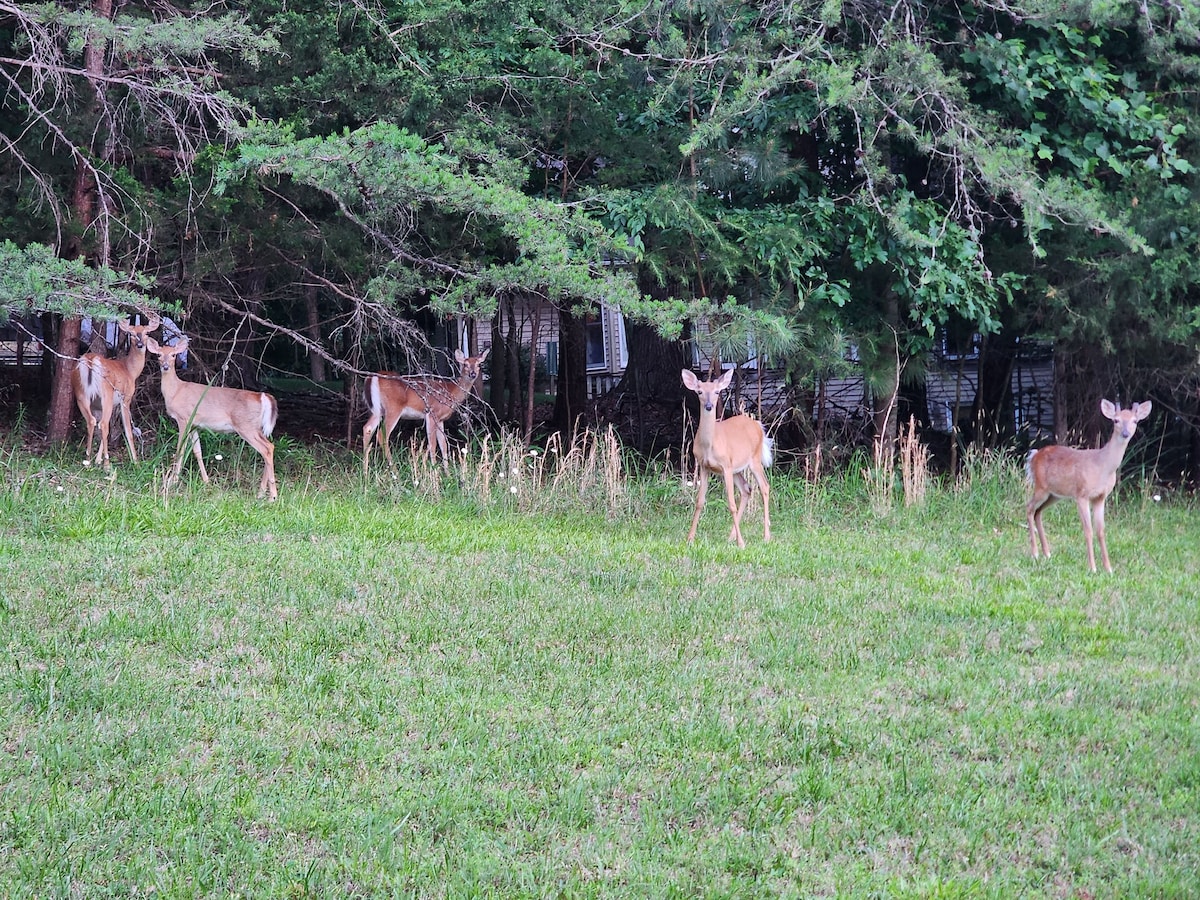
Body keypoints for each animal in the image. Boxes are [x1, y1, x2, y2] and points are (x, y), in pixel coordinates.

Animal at [71, 316, 160, 468]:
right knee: (103, 424)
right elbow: (128, 431)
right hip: (106, 393)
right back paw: (107, 464)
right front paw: (135, 461)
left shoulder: (101, 406)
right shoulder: (126, 399)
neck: (130, 371)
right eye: (132, 334)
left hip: (81, 394)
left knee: (92, 421)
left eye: (147, 333)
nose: (140, 344)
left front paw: (97, 459)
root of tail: (90, 360)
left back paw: (88, 460)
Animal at [144, 336, 279, 504]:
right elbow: (197, 451)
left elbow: (180, 450)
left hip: (246, 426)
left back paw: (272, 496)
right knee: (269, 447)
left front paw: (173, 481)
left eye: (174, 355)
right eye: (158, 355)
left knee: (266, 449)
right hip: (256, 428)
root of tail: (263, 397)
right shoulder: (195, 424)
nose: (166, 366)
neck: (175, 392)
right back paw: (261, 493)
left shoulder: (183, 418)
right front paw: (206, 481)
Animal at [360, 345, 487, 475]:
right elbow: (433, 444)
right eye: (465, 364)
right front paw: (435, 471)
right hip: (393, 408)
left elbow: (443, 445)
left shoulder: (440, 419)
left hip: (378, 410)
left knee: (367, 428)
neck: (450, 393)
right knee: (382, 434)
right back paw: (394, 470)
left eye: (478, 364)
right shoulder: (431, 413)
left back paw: (365, 471)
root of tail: (373, 377)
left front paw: (447, 473)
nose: (473, 374)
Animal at [681, 367, 772, 549]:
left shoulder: (726, 465)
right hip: (737, 468)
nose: (709, 406)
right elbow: (699, 502)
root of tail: (758, 425)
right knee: (746, 489)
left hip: (754, 459)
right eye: (700, 391)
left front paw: (742, 543)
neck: (710, 444)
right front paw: (690, 539)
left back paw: (766, 536)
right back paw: (731, 537)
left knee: (764, 486)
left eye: (717, 392)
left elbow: (731, 503)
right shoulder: (704, 466)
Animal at [1027, 400, 1147, 573]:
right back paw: (1035, 553)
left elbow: (1101, 531)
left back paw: (1047, 553)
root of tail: (1034, 455)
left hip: (1054, 495)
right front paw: (1093, 567)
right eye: (1116, 420)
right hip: (1041, 487)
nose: (1125, 433)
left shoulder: (1100, 497)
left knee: (1038, 512)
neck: (1102, 467)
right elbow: (1088, 530)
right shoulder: (1082, 494)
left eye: (1135, 421)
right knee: (1029, 508)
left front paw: (1108, 568)